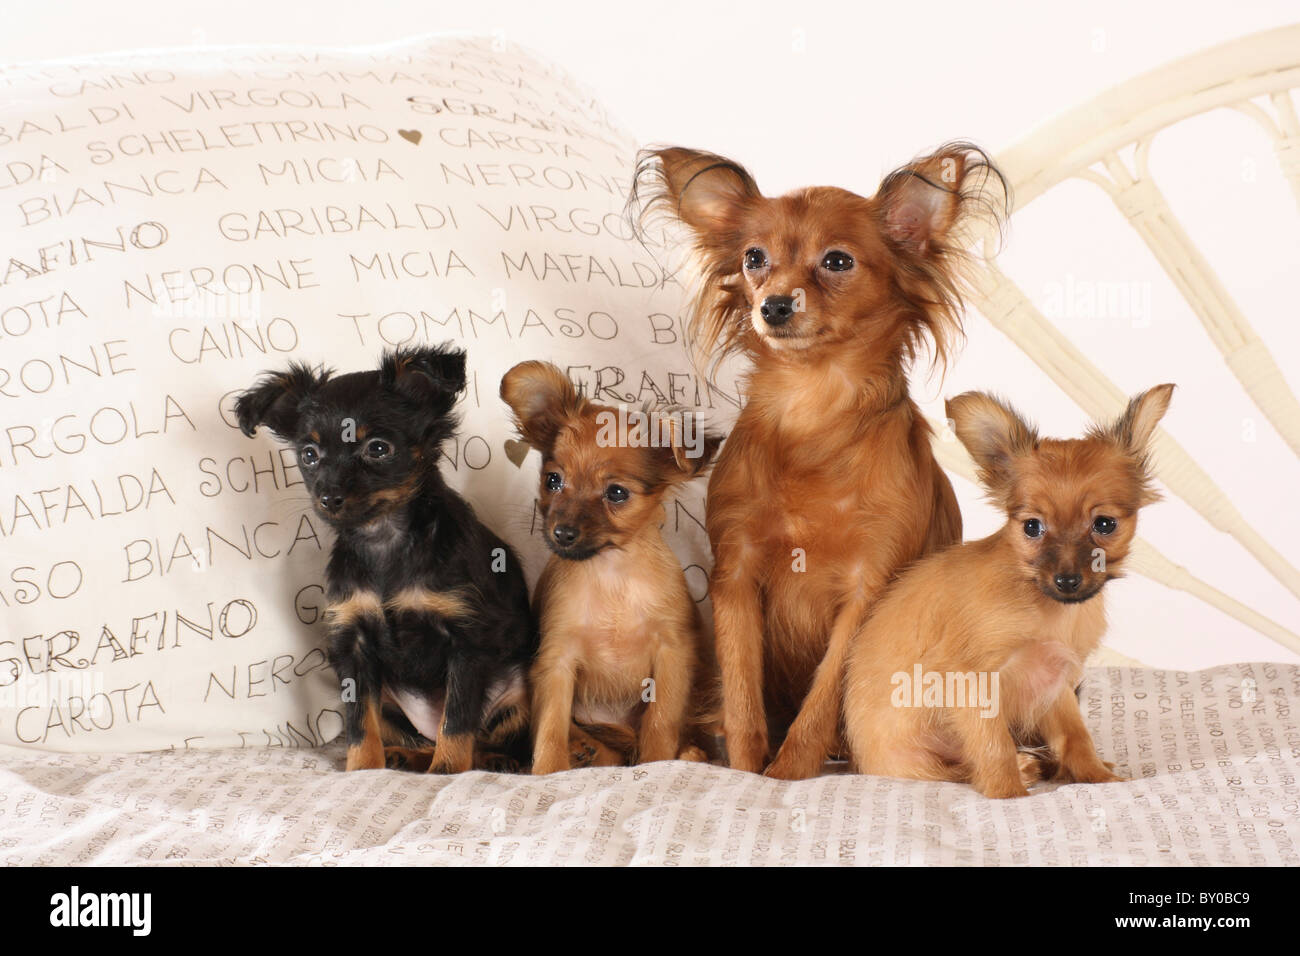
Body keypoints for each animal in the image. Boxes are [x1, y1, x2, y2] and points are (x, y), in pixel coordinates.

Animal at [236, 348, 535, 775]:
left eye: (378, 449)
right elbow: (360, 721)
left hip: (519, 692)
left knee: (482, 738)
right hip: (393, 704)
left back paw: (493, 760)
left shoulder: (467, 641)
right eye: (309, 456)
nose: (328, 497)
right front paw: (362, 770)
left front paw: (447, 770)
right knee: (415, 734)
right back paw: (404, 755)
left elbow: (457, 719)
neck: (383, 540)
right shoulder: (353, 643)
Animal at [634, 147, 1008, 780]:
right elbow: (742, 696)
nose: (774, 304)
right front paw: (745, 771)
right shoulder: (736, 576)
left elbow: (824, 696)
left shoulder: (868, 590)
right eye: (753, 258)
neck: (812, 405)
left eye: (837, 261)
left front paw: (786, 774)